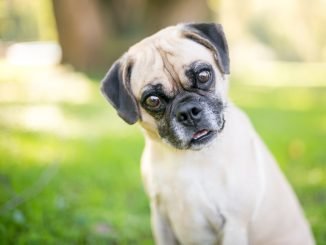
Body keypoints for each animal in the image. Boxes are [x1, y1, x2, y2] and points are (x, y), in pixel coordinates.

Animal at [100, 23, 314, 245]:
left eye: (203, 76)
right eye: (153, 100)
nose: (188, 111)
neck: (191, 158)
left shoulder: (234, 225)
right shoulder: (161, 220)